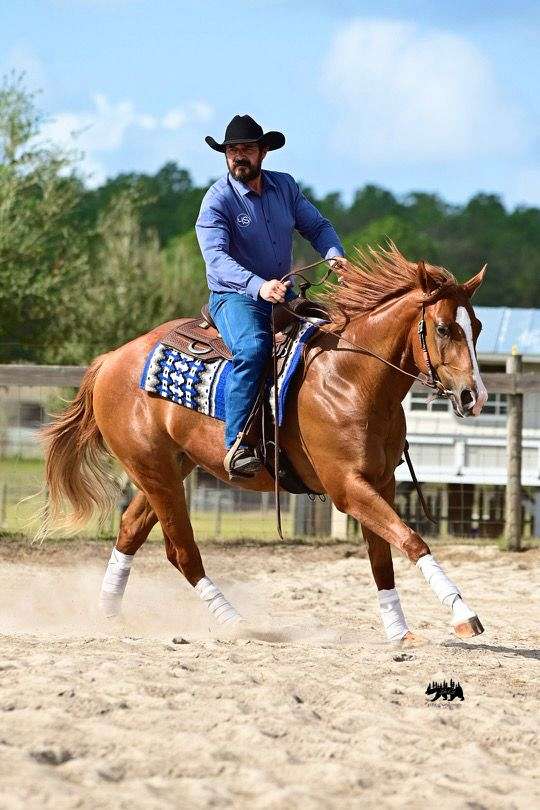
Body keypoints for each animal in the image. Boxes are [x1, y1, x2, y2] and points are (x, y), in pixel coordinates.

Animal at [40, 245, 490, 636]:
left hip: (170, 469)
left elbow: (383, 558)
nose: (475, 396)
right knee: (182, 552)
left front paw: (399, 632)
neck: (350, 377)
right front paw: (463, 613)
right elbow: (411, 539)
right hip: (154, 472)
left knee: (131, 529)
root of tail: (110, 360)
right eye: (443, 328)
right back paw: (235, 622)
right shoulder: (347, 488)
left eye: (478, 328)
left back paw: (108, 611)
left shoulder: (382, 482)